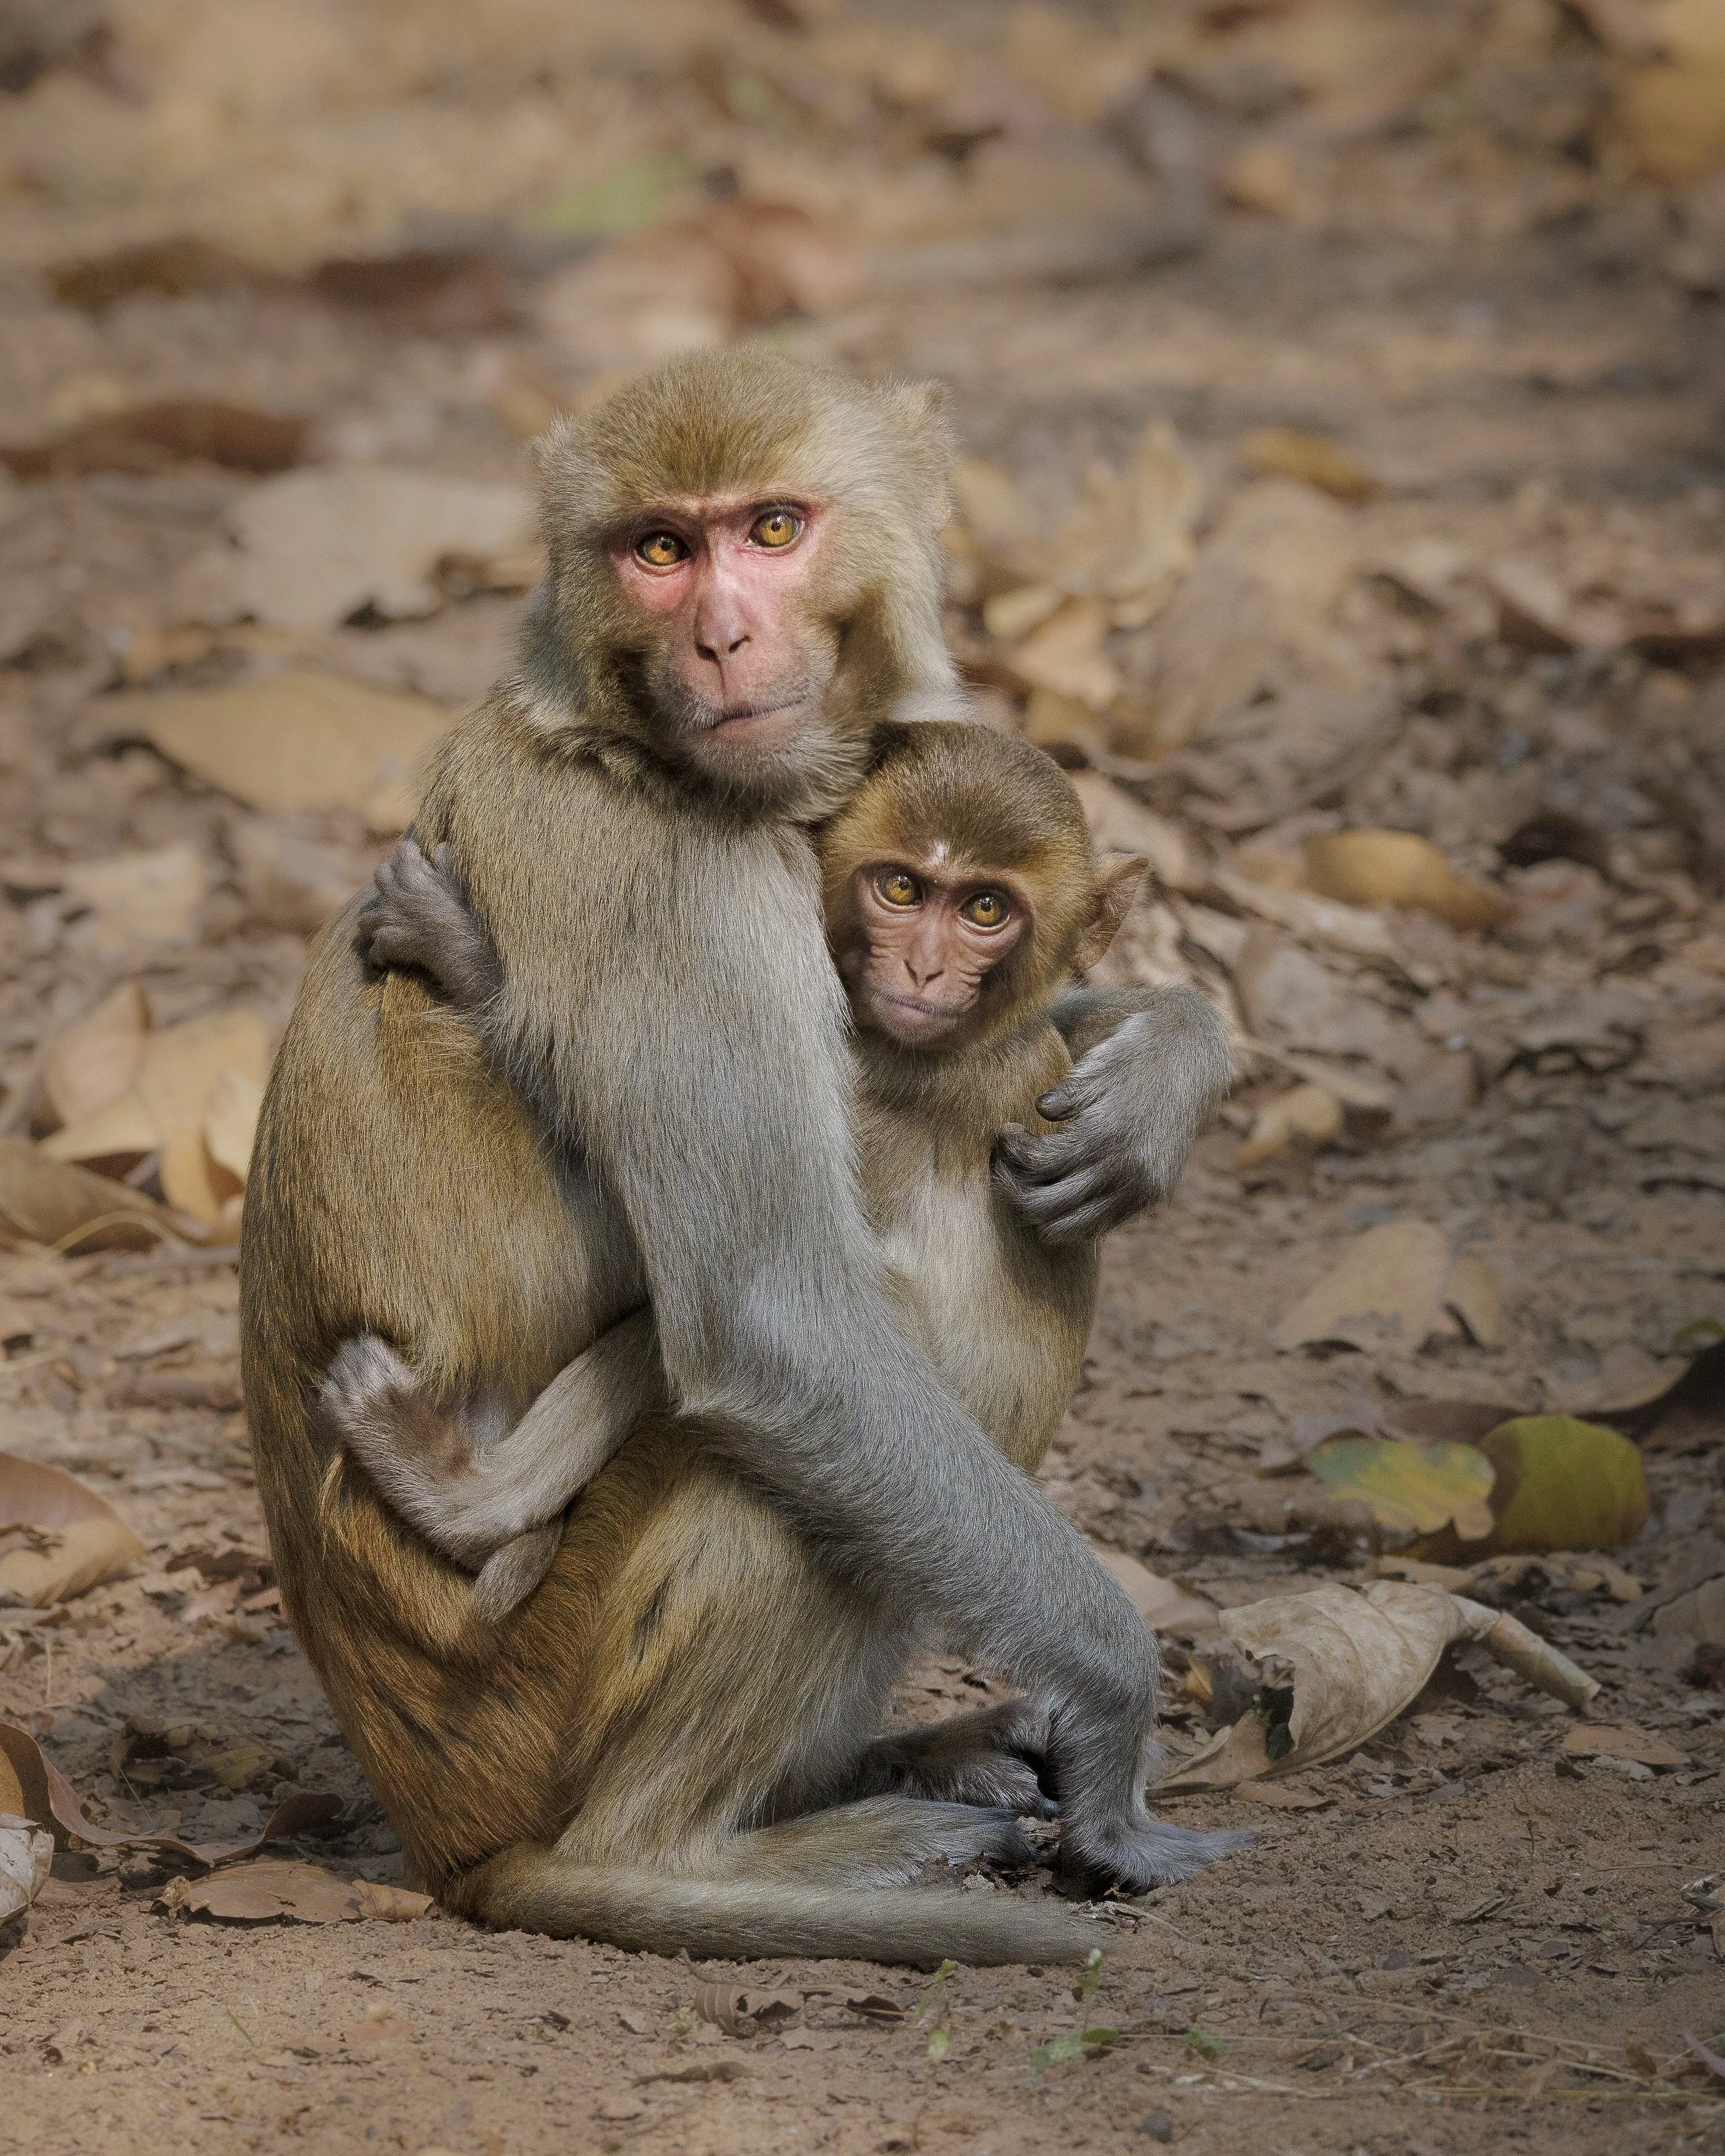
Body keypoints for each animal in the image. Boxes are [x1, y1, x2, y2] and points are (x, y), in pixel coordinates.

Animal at [323, 719, 1155, 1616]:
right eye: (902, 888)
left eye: (986, 908)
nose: (925, 970)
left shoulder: (892, 1089)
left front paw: (464, 954)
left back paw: (468, 1502)